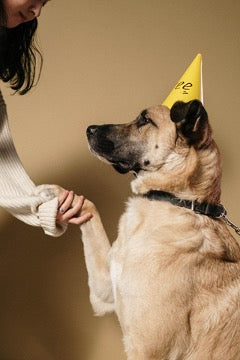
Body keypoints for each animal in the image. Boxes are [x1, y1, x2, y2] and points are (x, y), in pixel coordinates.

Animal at [79, 100, 240, 360]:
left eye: (145, 120)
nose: (89, 129)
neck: (176, 200)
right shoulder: (104, 290)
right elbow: (89, 212)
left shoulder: (148, 350)